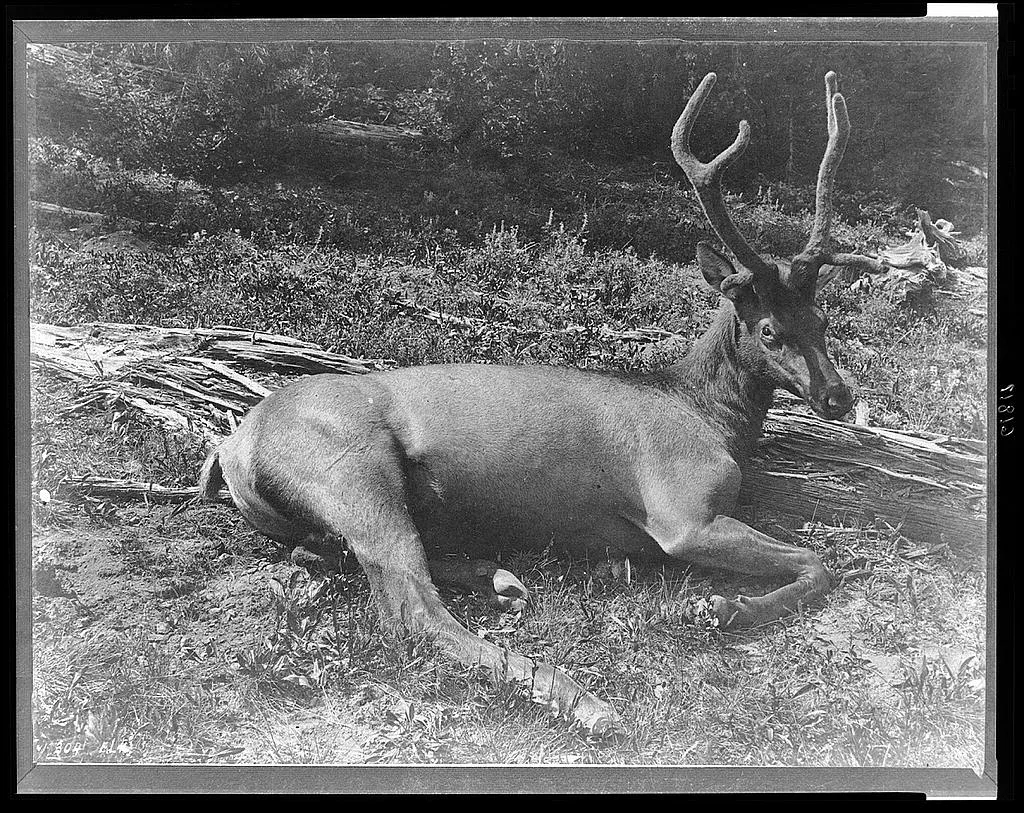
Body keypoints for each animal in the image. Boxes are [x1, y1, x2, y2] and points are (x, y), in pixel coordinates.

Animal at [199, 71, 885, 737]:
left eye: (823, 320)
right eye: (769, 331)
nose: (838, 395)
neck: (710, 417)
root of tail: (229, 449)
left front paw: (729, 603)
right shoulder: (682, 511)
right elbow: (822, 561)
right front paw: (726, 606)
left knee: (330, 554)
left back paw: (498, 578)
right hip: (352, 471)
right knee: (409, 606)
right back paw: (580, 699)